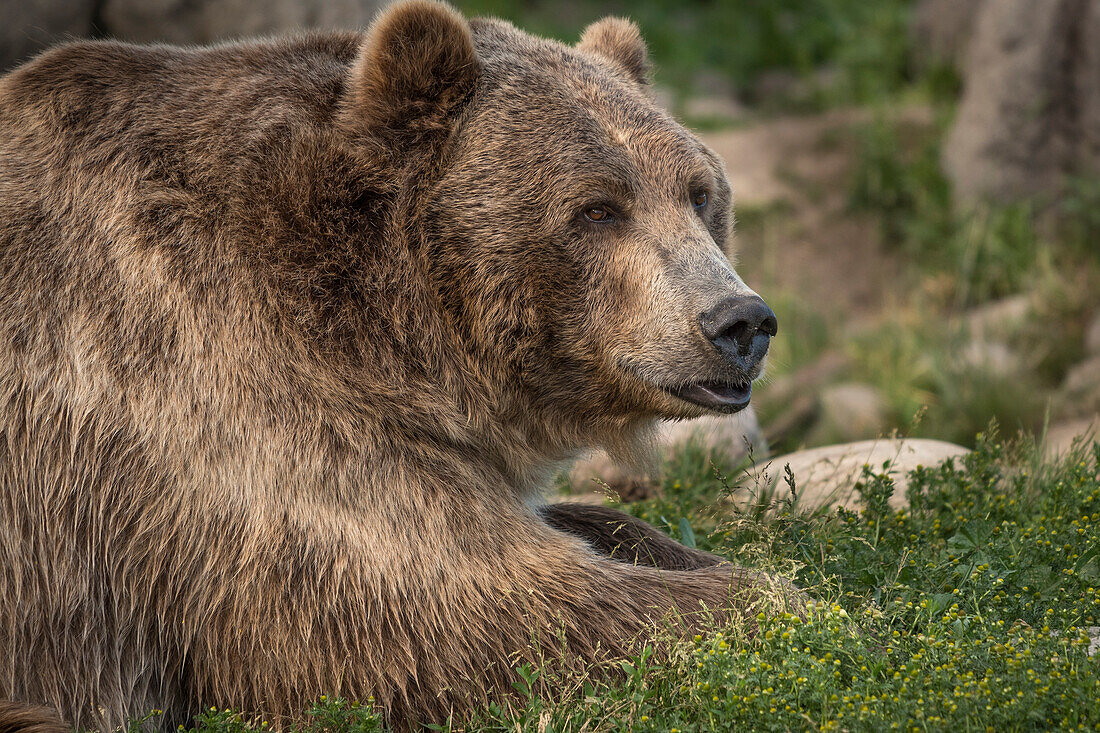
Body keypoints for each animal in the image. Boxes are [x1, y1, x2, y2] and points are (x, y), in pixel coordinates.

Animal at [0, 2, 792, 726]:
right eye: (596, 208)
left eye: (698, 193)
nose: (739, 321)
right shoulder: (217, 406)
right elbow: (480, 604)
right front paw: (782, 602)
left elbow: (576, 525)